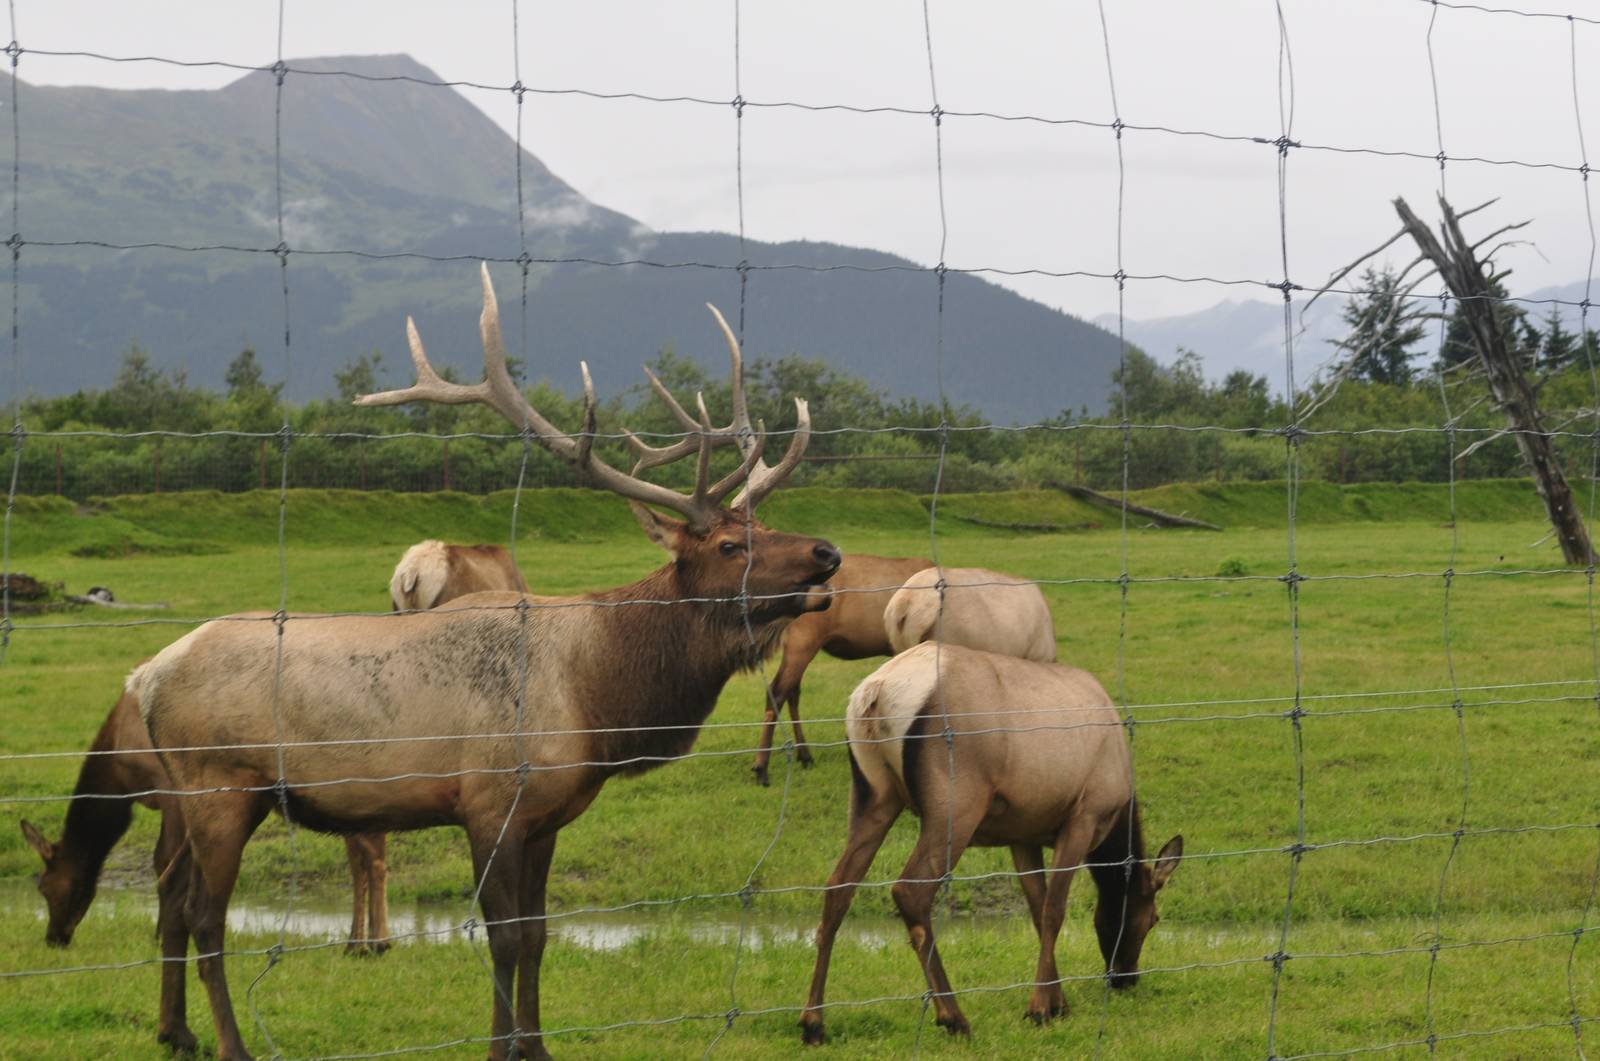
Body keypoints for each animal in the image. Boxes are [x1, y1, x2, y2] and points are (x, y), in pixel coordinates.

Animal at [799, 641, 1182, 1044]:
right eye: (1153, 918)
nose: (1126, 977)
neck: (1118, 816)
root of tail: (875, 693)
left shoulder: (1023, 835)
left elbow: (1037, 910)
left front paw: (1058, 1003)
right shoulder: (1083, 818)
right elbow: (1054, 911)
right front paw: (1039, 1008)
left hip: (874, 794)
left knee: (838, 888)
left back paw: (813, 1022)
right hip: (956, 805)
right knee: (909, 891)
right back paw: (953, 1016)